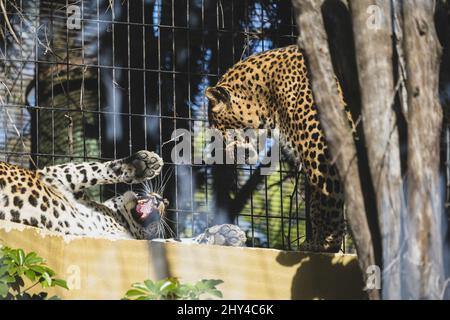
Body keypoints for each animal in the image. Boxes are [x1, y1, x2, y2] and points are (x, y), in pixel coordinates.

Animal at [0, 151, 246, 246]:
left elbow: (174, 241)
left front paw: (224, 235)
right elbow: (88, 169)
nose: (164, 201)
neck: (118, 218)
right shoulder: (52, 175)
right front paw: (142, 164)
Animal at [206, 45, 356, 252]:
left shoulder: (321, 153)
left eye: (215, 127)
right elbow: (318, 203)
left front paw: (322, 244)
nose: (219, 155)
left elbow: (324, 202)